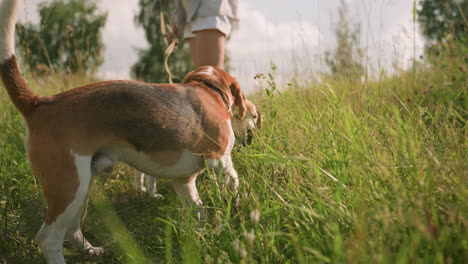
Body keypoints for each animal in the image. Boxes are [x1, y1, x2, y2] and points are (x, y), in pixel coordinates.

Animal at [0, 1, 260, 262]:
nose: (253, 126)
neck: (207, 88)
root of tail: (39, 103)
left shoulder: (183, 181)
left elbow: (197, 210)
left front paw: (204, 237)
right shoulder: (220, 160)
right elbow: (234, 183)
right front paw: (237, 212)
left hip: (83, 185)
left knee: (72, 229)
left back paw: (91, 250)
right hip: (68, 185)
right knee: (48, 238)